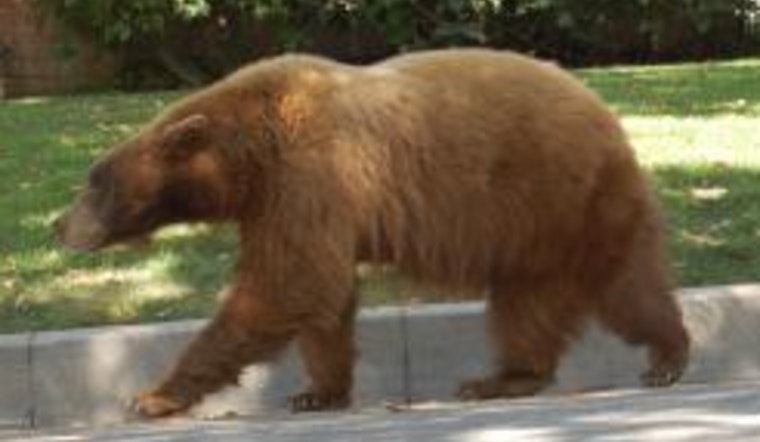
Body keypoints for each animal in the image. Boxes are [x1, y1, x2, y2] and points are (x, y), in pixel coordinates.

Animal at [54, 48, 690, 418]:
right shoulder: (288, 199)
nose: (61, 225)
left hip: (566, 194)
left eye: (95, 183)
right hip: (531, 228)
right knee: (525, 304)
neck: (249, 151)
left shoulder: (311, 172)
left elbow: (286, 284)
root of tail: (605, 111)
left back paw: (667, 357)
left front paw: (152, 395)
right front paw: (318, 390)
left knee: (622, 283)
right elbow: (321, 298)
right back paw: (502, 378)